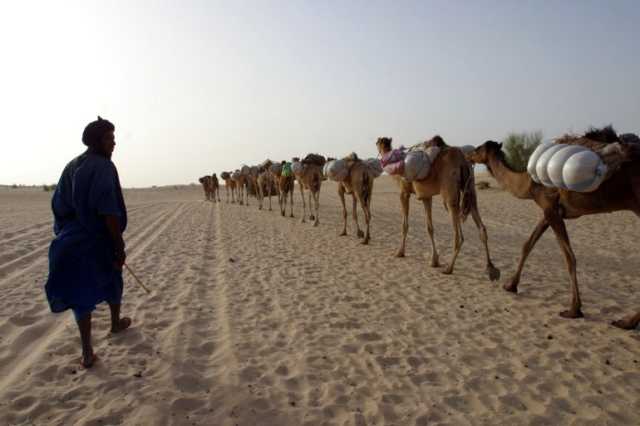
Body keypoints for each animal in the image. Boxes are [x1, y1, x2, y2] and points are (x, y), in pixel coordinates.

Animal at [380, 136, 500, 282]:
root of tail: (462, 161)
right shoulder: (426, 196)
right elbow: (429, 228)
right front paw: (434, 261)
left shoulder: (404, 192)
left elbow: (405, 225)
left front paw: (400, 252)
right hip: (470, 189)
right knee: (482, 228)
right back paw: (491, 269)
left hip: (450, 194)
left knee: (459, 235)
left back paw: (449, 268)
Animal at [464, 127, 640, 330]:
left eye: (478, 148)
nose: (468, 155)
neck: (528, 182)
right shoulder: (549, 210)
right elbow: (527, 244)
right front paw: (510, 285)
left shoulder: (551, 210)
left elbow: (569, 257)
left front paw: (574, 310)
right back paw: (628, 322)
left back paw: (626, 322)